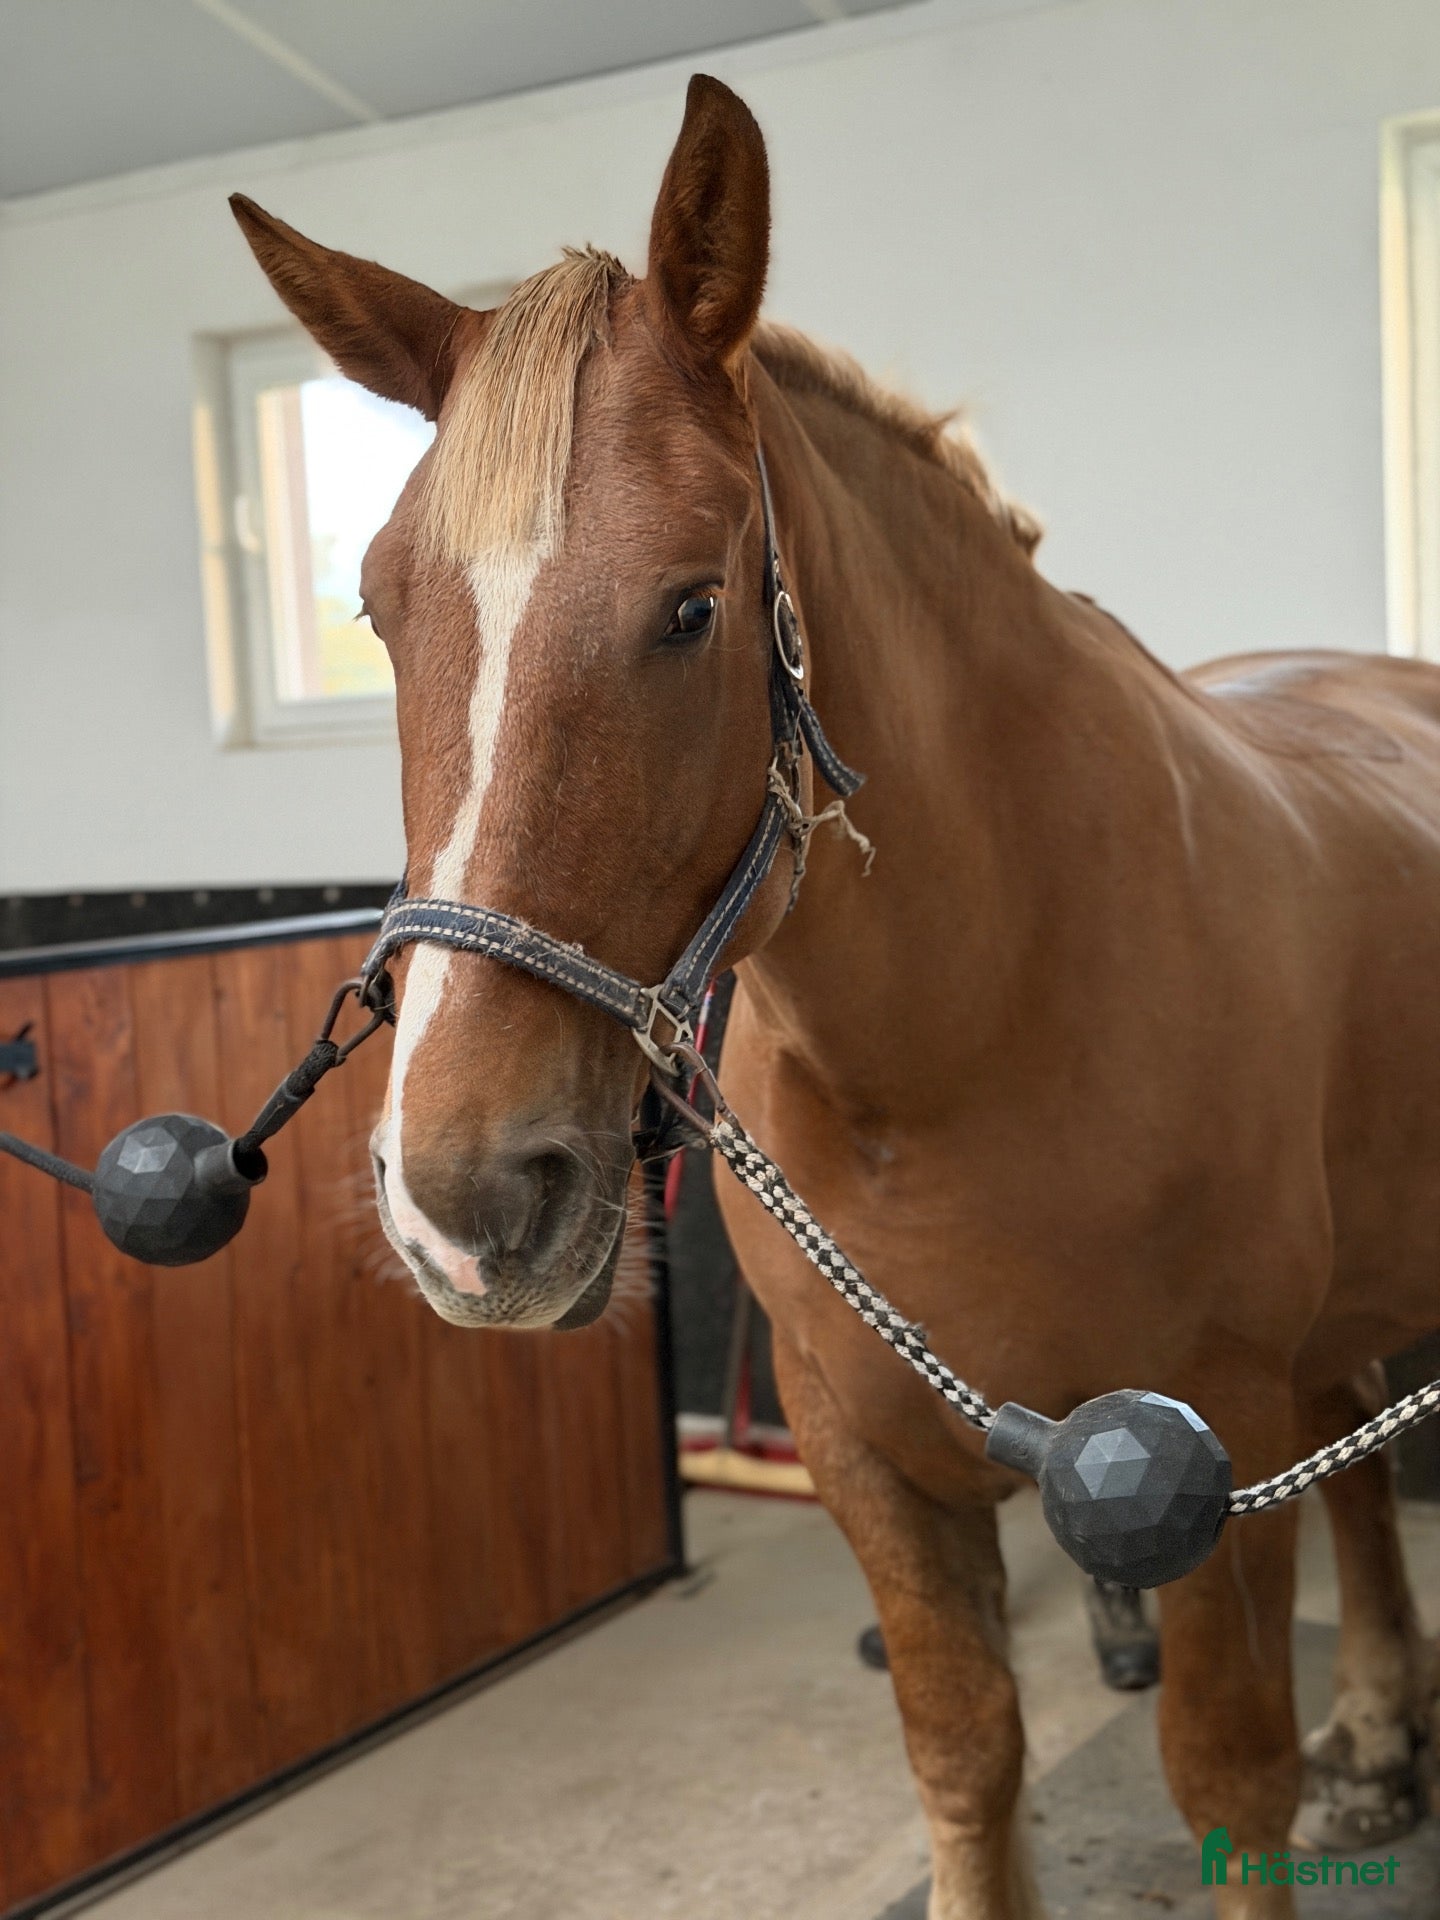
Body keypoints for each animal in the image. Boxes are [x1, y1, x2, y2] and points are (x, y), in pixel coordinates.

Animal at [232, 73, 1440, 1919]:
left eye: (692, 606)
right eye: (376, 606)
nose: (463, 1199)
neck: (973, 1040)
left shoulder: (1214, 1454)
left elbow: (1227, 1779)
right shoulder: (870, 1462)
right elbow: (965, 1758)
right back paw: (1376, 1732)